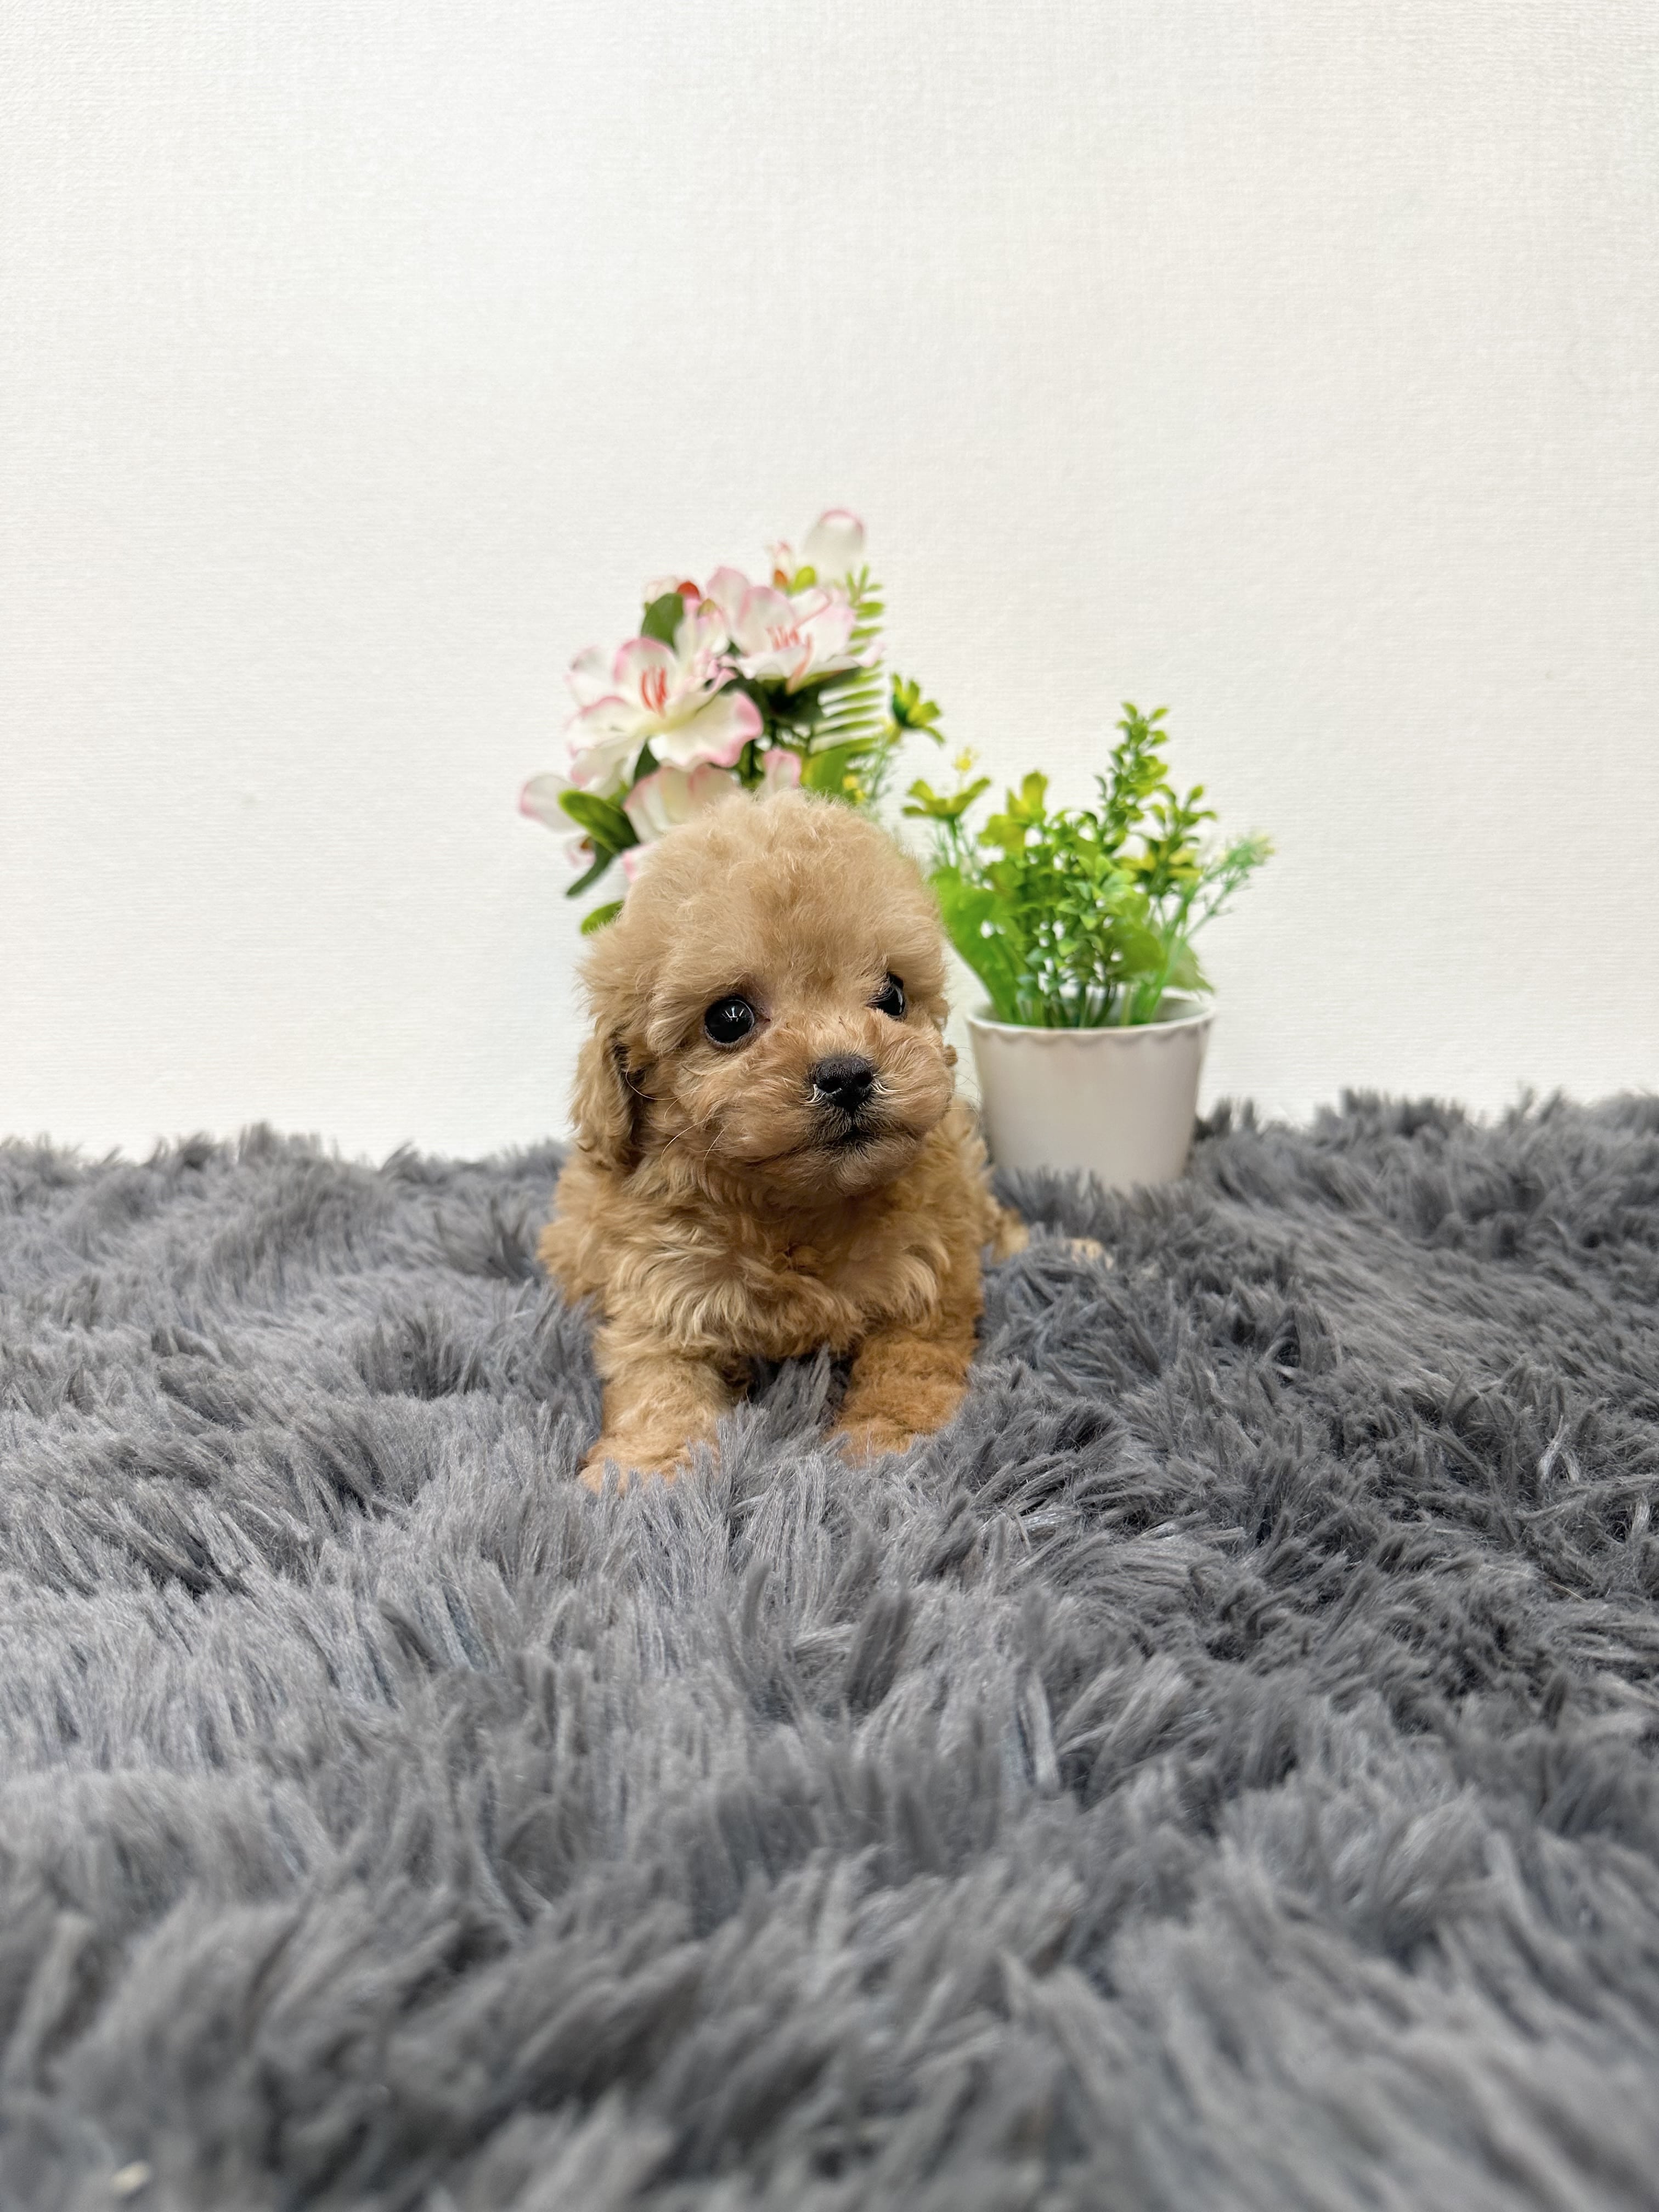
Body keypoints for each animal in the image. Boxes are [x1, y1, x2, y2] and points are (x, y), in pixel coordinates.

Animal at [540, 787, 1031, 1490]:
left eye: (893, 995)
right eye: (729, 1019)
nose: (848, 1074)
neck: (795, 1213)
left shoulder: (928, 1284)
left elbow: (909, 1372)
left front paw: (885, 1444)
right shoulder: (659, 1289)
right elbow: (657, 1386)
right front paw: (643, 1473)